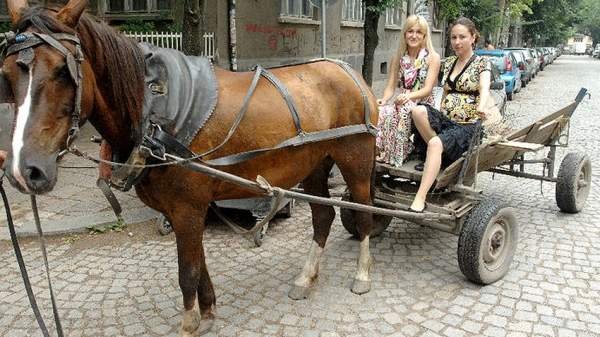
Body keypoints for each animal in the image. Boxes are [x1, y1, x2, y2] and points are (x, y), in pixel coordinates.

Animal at [0, 1, 376, 334]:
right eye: (5, 75)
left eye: (63, 71)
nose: (23, 170)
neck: (156, 116)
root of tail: (347, 71)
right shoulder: (187, 210)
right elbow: (199, 263)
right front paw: (208, 312)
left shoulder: (187, 207)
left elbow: (188, 272)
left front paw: (190, 324)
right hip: (315, 164)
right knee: (323, 215)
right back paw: (305, 278)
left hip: (356, 159)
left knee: (364, 213)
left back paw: (362, 275)